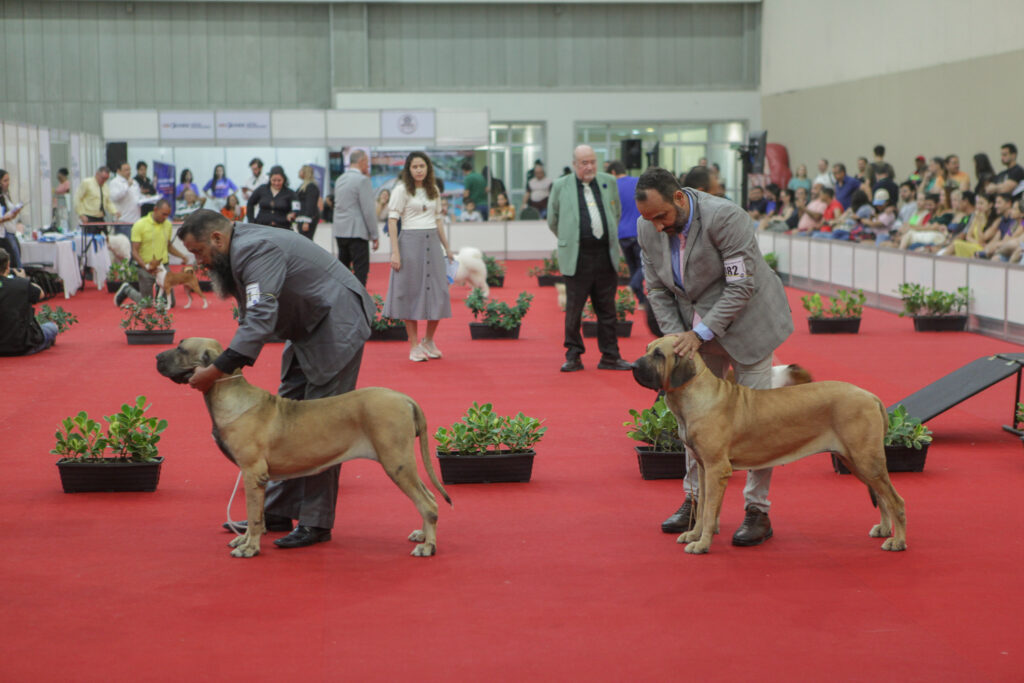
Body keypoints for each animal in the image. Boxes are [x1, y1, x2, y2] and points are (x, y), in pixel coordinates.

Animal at [153, 337, 450, 561]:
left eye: (181, 349)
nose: (156, 357)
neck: (227, 393)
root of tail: (405, 398)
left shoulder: (251, 473)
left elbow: (254, 515)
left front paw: (250, 548)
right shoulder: (255, 478)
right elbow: (256, 514)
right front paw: (245, 541)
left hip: (396, 462)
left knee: (427, 502)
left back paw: (428, 546)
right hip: (401, 463)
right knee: (429, 498)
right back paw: (423, 534)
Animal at [626, 335, 909, 557]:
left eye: (659, 354)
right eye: (647, 348)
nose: (631, 365)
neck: (693, 394)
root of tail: (871, 396)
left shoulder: (717, 468)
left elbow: (708, 511)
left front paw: (702, 544)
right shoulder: (705, 468)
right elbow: (704, 503)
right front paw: (694, 535)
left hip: (866, 459)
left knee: (896, 500)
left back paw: (897, 541)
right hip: (855, 461)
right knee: (881, 496)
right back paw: (884, 529)